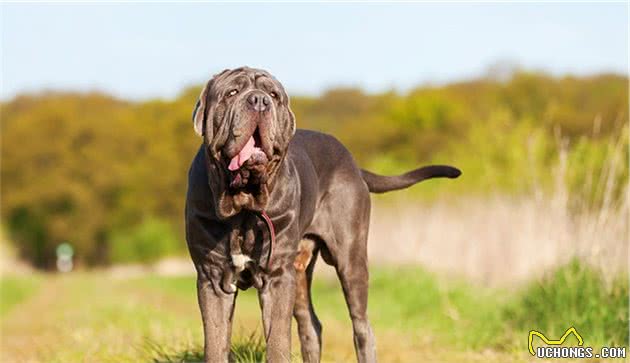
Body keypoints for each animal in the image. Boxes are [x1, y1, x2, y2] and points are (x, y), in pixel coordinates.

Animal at [185, 67, 462, 362]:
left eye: (274, 95)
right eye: (232, 92)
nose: (259, 101)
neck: (245, 206)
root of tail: (354, 165)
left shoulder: (277, 277)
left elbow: (278, 341)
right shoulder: (213, 276)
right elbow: (215, 343)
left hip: (350, 258)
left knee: (362, 326)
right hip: (299, 272)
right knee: (311, 325)